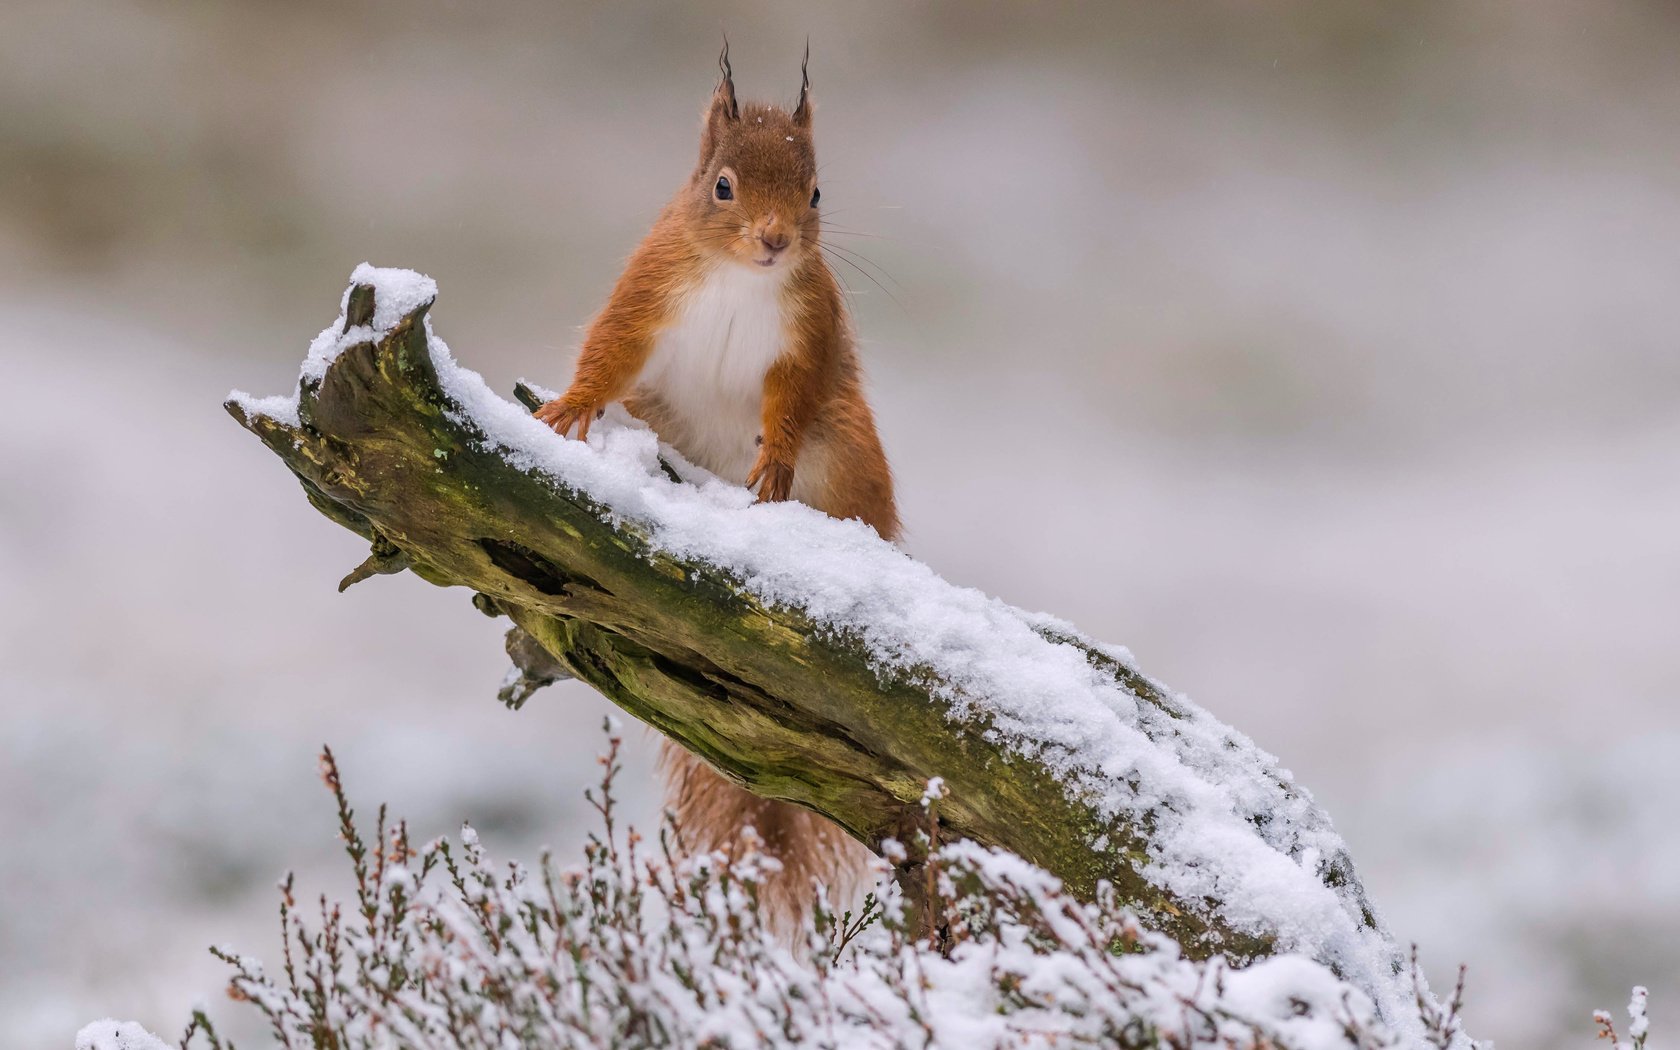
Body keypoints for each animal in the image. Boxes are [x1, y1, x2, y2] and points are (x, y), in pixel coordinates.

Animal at [537, 53, 900, 927]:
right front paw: (568, 407)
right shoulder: (648, 290)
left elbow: (789, 402)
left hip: (850, 451)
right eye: (722, 186)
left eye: (816, 192)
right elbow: (610, 352)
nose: (775, 241)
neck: (740, 277)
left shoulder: (807, 337)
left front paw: (774, 463)